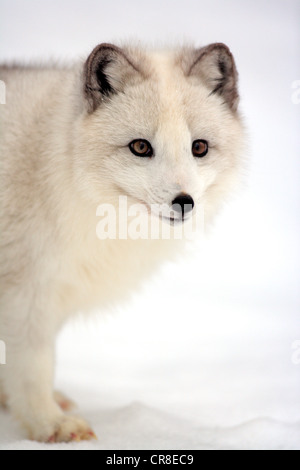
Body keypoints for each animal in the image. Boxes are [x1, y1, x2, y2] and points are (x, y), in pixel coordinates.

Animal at [0, 42, 244, 442]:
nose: (184, 202)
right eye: (141, 147)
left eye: (200, 147)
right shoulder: (27, 292)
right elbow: (33, 365)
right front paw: (49, 424)